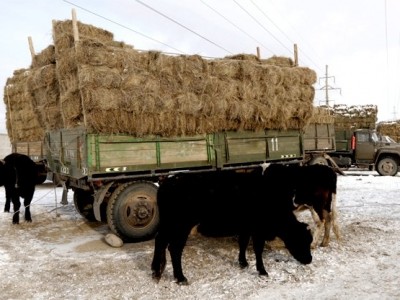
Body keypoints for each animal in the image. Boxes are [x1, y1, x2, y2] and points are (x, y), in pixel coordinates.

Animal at [150, 168, 312, 284]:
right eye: (302, 240)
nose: (309, 260)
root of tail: (169, 181)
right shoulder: (258, 230)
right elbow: (258, 250)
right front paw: (262, 271)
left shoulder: (246, 228)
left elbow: (243, 243)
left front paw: (243, 263)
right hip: (181, 226)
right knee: (174, 249)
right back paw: (180, 277)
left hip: (169, 225)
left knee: (160, 241)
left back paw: (156, 271)